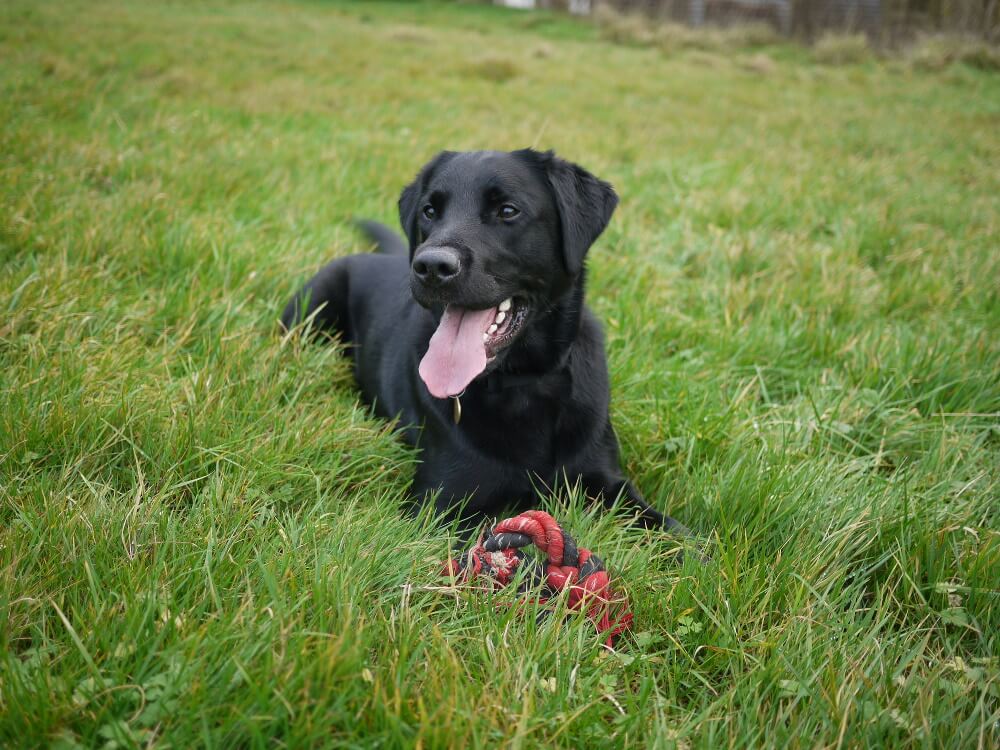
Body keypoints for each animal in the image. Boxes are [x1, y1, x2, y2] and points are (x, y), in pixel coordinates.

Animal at [282, 148, 688, 536]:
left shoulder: (607, 482)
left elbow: (673, 531)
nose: (431, 266)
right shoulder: (437, 506)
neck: (523, 384)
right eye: (430, 211)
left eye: (507, 211)